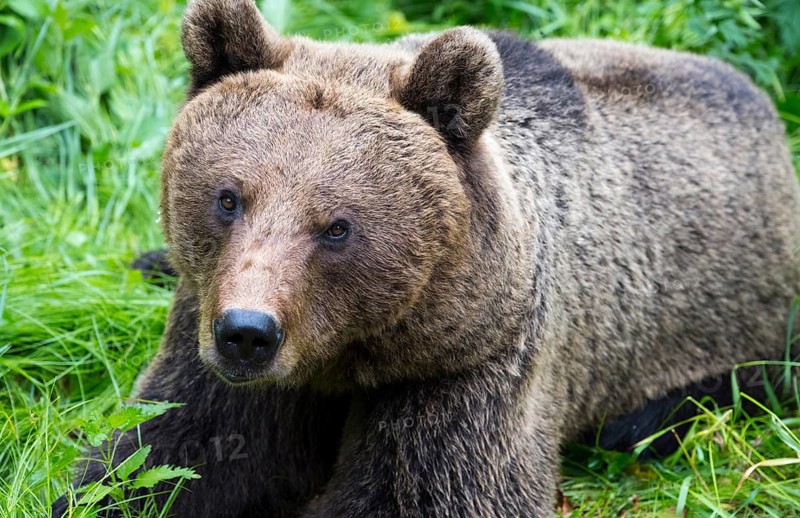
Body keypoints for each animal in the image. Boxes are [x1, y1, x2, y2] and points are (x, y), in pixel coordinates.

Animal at [55, 0, 800, 516]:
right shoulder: (209, 339)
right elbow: (170, 451)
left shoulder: (468, 368)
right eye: (229, 197)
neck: (347, 359)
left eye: (337, 227)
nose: (247, 333)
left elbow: (425, 492)